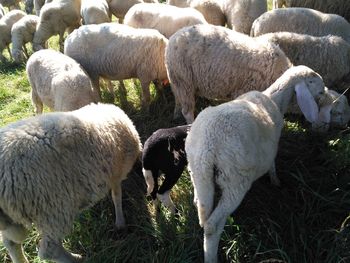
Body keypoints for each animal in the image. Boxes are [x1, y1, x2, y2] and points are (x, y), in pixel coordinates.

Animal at [0, 103, 143, 263]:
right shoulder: (116, 173)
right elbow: (117, 197)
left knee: (11, 243)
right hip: (52, 207)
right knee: (49, 250)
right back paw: (75, 258)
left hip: (12, 217)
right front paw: (120, 222)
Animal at [164, 24, 292, 124]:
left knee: (178, 99)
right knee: (187, 111)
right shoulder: (245, 89)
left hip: (177, 80)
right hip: (184, 80)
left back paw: (176, 115)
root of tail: (172, 40)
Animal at [185, 65, 332, 263]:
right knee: (212, 225)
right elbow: (272, 165)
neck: (275, 99)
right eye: (317, 86)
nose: (324, 94)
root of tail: (210, 145)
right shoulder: (273, 145)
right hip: (235, 180)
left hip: (199, 173)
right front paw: (276, 181)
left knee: (202, 210)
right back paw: (212, 256)